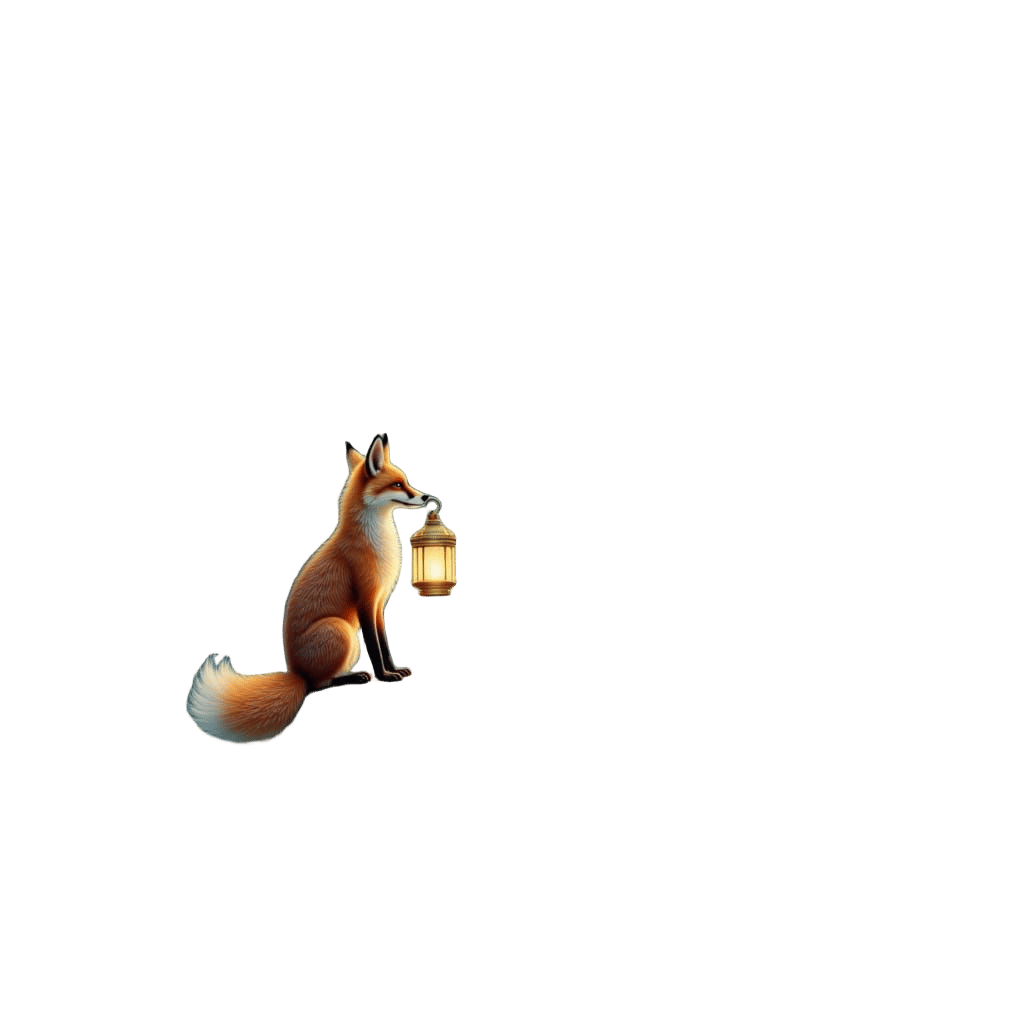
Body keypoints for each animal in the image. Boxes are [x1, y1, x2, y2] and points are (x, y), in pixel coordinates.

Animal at [185, 432, 433, 745]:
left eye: (405, 481)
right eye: (398, 484)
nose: (425, 497)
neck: (376, 542)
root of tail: (295, 673)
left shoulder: (379, 604)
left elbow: (385, 644)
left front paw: (394, 669)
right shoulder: (365, 600)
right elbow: (375, 649)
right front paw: (384, 676)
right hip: (341, 630)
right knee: (316, 685)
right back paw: (353, 677)